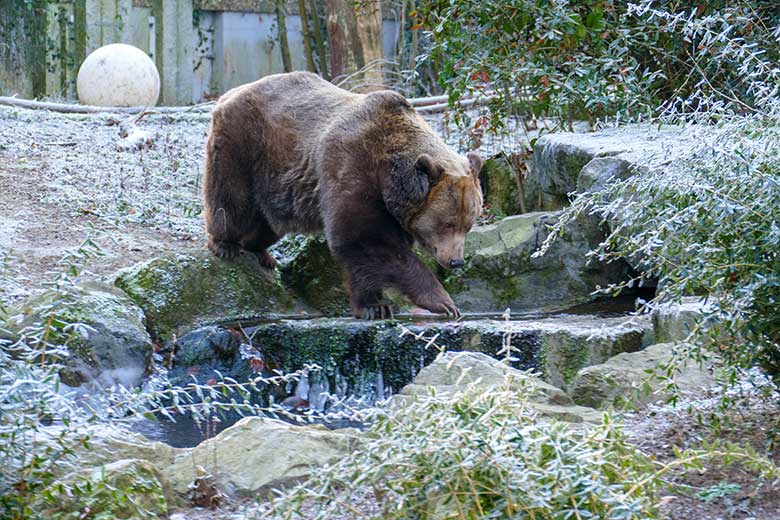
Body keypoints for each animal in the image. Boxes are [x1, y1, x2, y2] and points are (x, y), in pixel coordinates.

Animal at [201, 71, 482, 318]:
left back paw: (262, 252)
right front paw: (442, 302)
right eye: (448, 223)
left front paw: (377, 305)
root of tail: (230, 93)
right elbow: (365, 238)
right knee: (232, 199)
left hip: (276, 184)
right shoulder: (353, 166)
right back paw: (225, 244)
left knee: (269, 223)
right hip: (246, 145)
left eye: (468, 225)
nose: (456, 261)